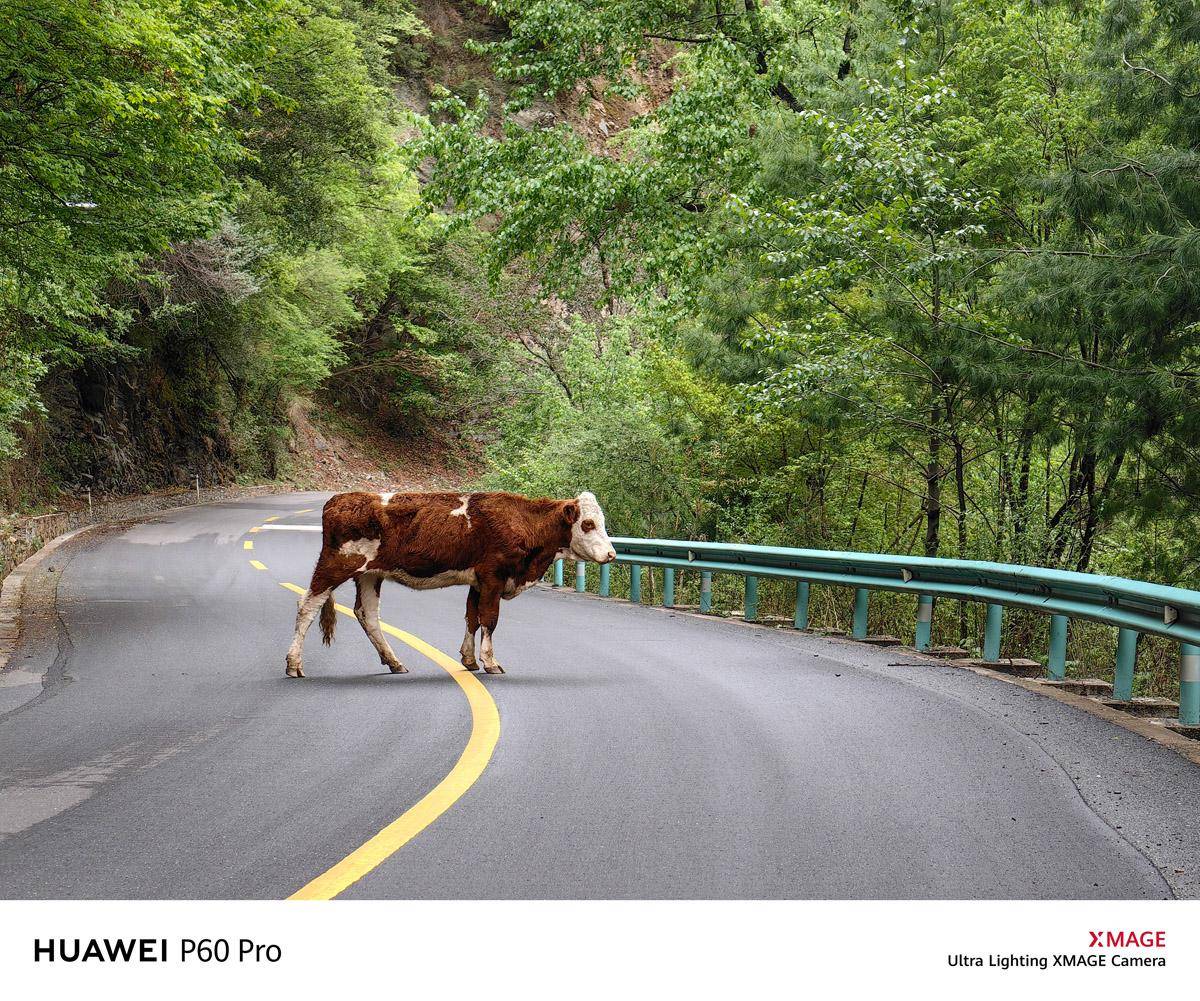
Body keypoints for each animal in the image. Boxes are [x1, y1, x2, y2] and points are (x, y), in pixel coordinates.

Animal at [285, 490, 616, 678]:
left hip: (369, 574)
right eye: (588, 524)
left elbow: (472, 617)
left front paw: (469, 659)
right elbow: (489, 620)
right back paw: (293, 664)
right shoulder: (493, 577)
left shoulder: (478, 581)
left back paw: (393, 662)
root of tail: (339, 499)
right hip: (335, 566)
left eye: (601, 522)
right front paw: (490, 662)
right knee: (308, 605)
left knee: (368, 615)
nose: (612, 554)